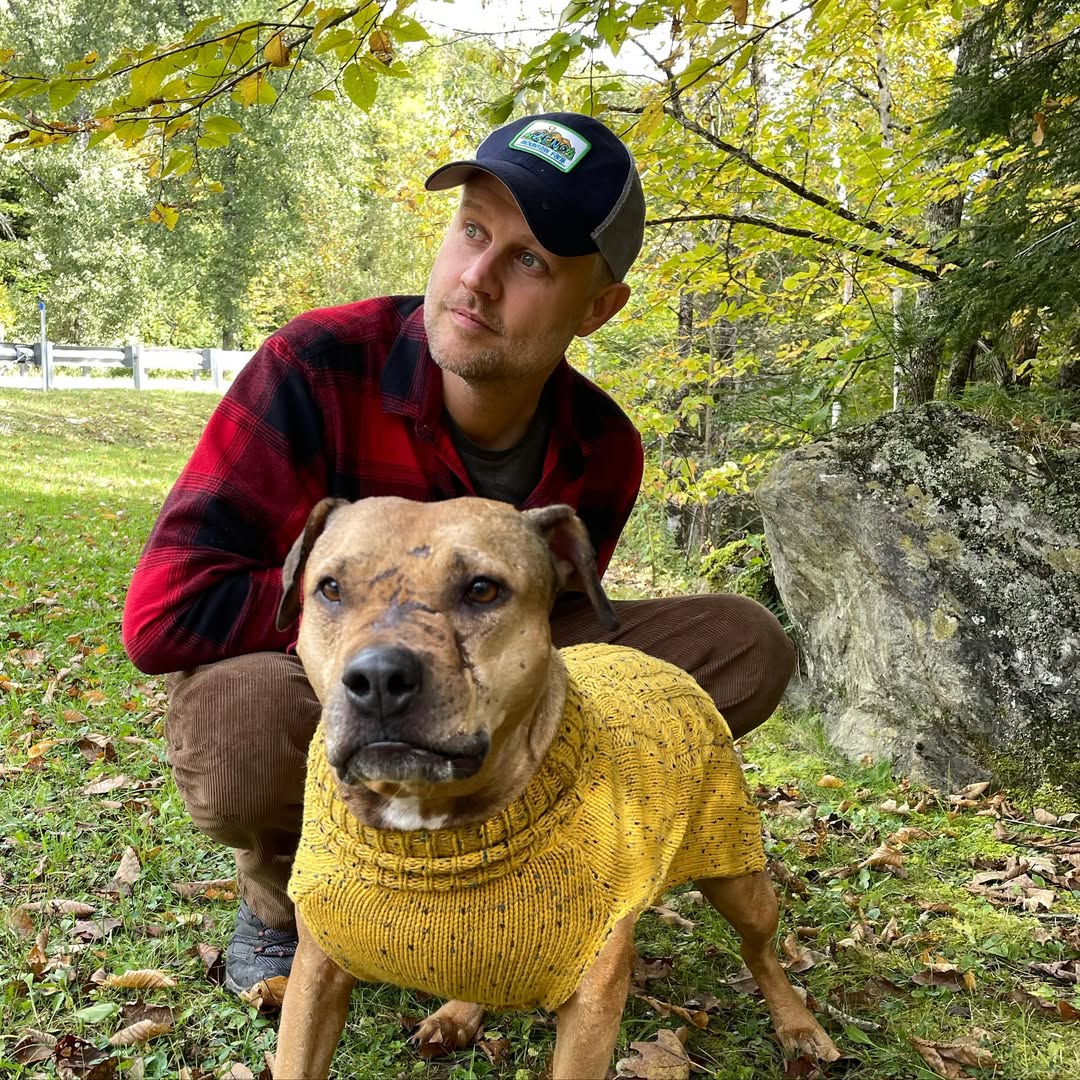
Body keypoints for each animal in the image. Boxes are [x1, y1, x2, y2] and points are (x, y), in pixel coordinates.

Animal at [270, 496, 842, 1080]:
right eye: (331, 588)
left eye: (482, 589)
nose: (379, 677)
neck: (433, 831)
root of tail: (657, 661)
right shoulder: (313, 978)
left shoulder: (590, 1006)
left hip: (735, 869)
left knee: (761, 951)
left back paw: (799, 1026)